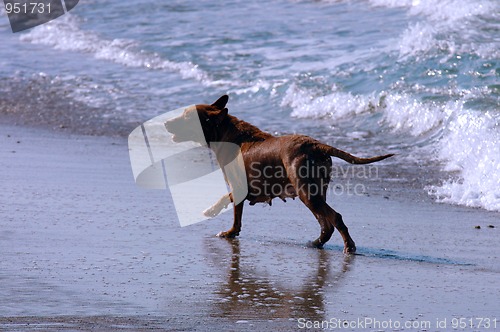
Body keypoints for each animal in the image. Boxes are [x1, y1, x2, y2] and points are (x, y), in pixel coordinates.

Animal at [166, 94, 392, 253]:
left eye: (187, 117)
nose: (166, 123)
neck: (224, 133)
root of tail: (315, 144)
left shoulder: (239, 187)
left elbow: (234, 212)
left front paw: (225, 228)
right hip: (314, 192)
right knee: (325, 223)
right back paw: (316, 243)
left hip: (306, 192)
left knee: (334, 217)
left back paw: (348, 246)